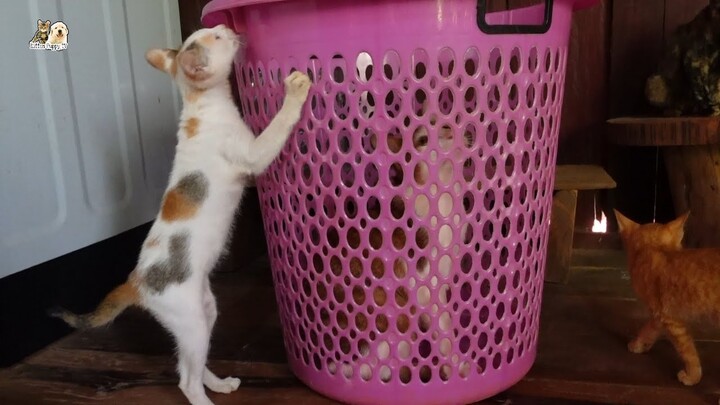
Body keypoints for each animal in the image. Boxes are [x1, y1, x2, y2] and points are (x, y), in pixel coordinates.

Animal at [50, 26, 310, 404]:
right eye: (216, 38)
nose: (228, 29)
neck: (200, 104)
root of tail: (136, 282)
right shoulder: (253, 154)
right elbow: (276, 128)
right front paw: (295, 93)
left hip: (203, 313)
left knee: (190, 365)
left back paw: (218, 383)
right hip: (191, 322)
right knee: (185, 381)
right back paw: (204, 398)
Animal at [612, 210, 720, 384]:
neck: (654, 250)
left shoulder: (670, 319)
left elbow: (687, 351)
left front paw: (692, 376)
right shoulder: (659, 314)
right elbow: (648, 329)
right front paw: (639, 345)